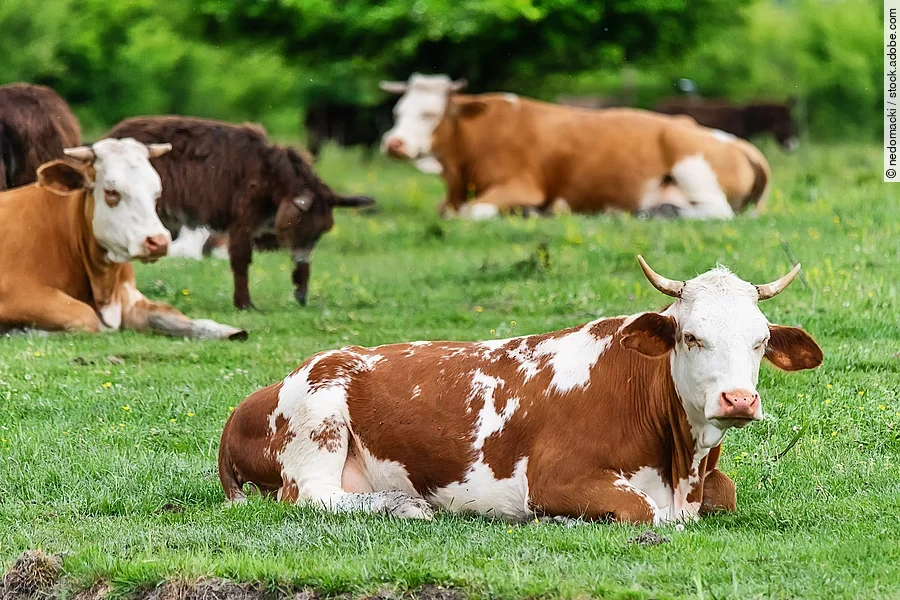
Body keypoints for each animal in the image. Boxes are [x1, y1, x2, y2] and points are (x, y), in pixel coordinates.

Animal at [0, 139, 245, 340]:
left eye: (156, 193)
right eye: (111, 192)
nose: (158, 241)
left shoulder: (131, 300)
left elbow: (169, 314)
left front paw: (224, 330)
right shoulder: (17, 293)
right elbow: (85, 316)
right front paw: (23, 330)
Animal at [104, 117, 376, 309]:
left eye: (320, 232)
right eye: (301, 227)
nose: (299, 259)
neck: (271, 176)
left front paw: (300, 290)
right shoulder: (243, 220)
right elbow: (241, 260)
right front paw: (244, 304)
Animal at [218, 257, 822, 523]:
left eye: (760, 341)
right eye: (692, 336)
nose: (738, 400)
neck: (680, 465)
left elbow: (728, 493)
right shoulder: (555, 477)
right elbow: (642, 511)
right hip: (317, 422)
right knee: (313, 496)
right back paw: (406, 505)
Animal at [379, 74, 771, 221]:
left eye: (429, 113)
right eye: (397, 112)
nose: (394, 143)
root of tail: (735, 140)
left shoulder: (521, 186)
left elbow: (474, 213)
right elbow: (444, 211)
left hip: (690, 162)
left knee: (718, 211)